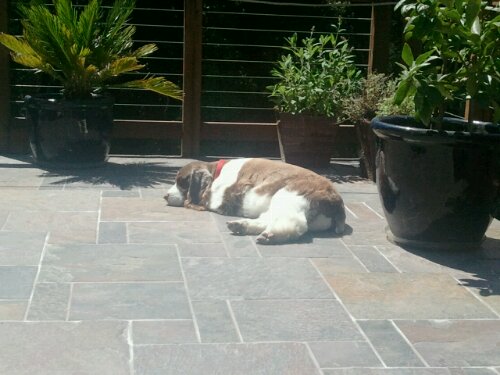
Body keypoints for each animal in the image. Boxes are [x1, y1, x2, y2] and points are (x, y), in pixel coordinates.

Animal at [166, 158, 346, 244]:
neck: (216, 172)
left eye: (181, 182)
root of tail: (338, 204)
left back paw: (271, 236)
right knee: (269, 219)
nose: (165, 196)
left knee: (296, 224)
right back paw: (241, 226)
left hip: (288, 194)